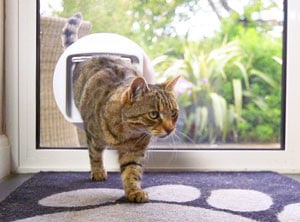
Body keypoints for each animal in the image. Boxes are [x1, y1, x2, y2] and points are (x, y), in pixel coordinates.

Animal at [61, 12, 179, 203]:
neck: (127, 133)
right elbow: (94, 155)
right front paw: (98, 171)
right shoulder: (93, 137)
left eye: (174, 113)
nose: (170, 129)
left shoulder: (135, 151)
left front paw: (134, 190)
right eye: (154, 114)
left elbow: (132, 171)